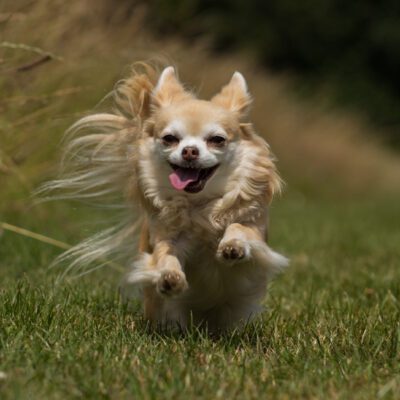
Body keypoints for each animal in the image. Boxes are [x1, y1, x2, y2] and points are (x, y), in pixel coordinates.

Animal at [44, 62, 288, 332]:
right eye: (170, 139)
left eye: (217, 140)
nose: (189, 151)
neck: (199, 205)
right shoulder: (166, 238)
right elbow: (165, 255)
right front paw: (169, 276)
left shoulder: (256, 233)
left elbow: (239, 227)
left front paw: (232, 245)